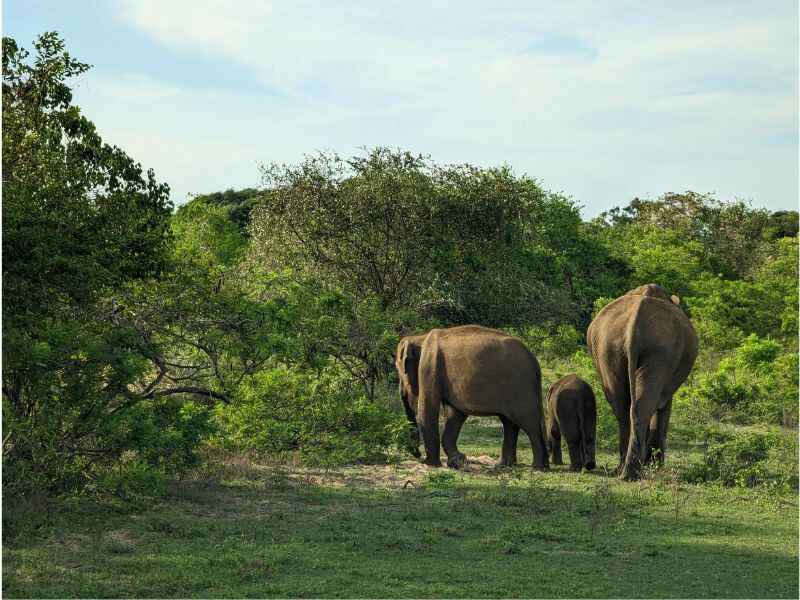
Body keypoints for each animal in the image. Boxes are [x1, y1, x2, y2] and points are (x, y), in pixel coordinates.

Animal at [396, 326, 552, 472]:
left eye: (399, 370)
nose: (417, 454)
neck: (419, 338)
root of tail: (534, 360)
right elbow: (455, 414)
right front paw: (458, 461)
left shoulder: (429, 367)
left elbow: (429, 409)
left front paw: (430, 464)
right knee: (509, 423)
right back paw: (504, 465)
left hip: (521, 388)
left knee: (528, 423)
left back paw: (537, 467)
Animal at [584, 284, 696, 480]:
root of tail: (633, 324)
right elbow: (663, 405)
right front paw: (654, 465)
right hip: (661, 351)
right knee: (641, 406)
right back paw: (633, 472)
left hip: (608, 349)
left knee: (622, 408)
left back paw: (622, 470)